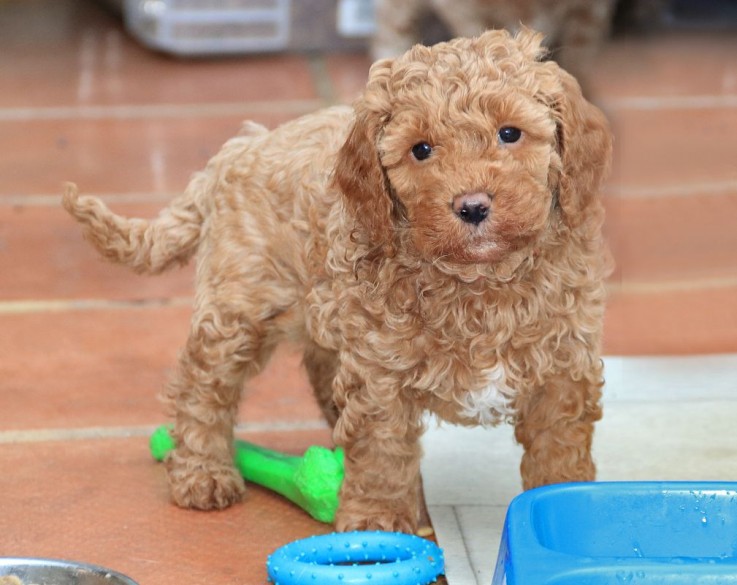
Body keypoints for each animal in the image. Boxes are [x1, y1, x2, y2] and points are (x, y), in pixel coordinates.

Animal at [63, 28, 608, 532]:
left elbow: (559, 450)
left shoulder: (564, 365)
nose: (472, 206)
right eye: (421, 150)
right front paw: (375, 520)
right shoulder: (380, 372)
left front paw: (570, 511)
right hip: (240, 307)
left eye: (510, 133)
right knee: (202, 386)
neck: (479, 282)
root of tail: (238, 149)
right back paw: (203, 472)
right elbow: (382, 449)